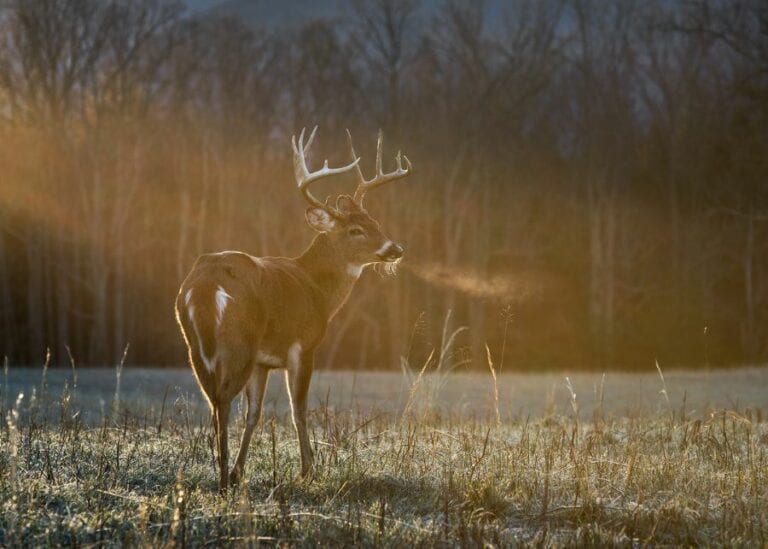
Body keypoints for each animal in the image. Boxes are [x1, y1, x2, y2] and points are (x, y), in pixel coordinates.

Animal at [175, 127, 412, 492]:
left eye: (375, 221)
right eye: (355, 230)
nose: (395, 249)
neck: (318, 290)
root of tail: (204, 286)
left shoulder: (263, 360)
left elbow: (255, 413)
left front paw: (241, 470)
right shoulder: (303, 345)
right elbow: (298, 408)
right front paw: (308, 470)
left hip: (195, 347)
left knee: (213, 401)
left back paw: (224, 473)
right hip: (238, 343)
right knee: (223, 399)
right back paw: (223, 482)